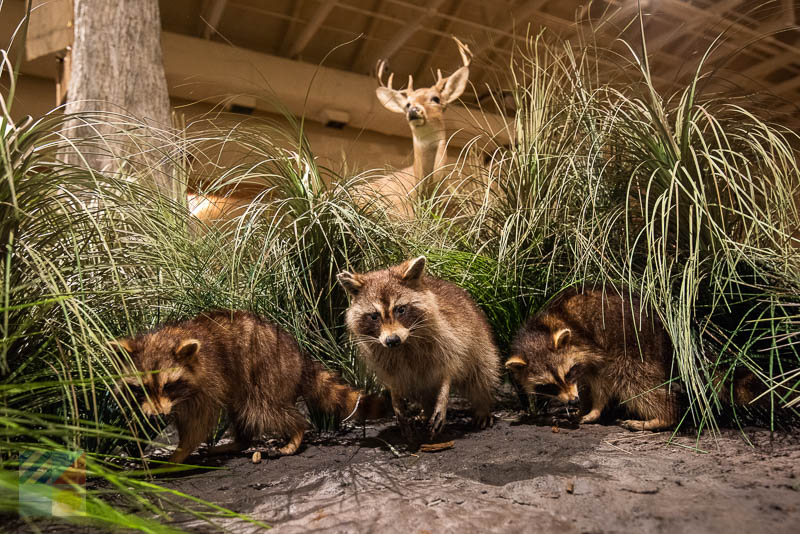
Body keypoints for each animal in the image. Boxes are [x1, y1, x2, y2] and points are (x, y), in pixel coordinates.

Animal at [112, 310, 388, 464]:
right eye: (141, 388)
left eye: (169, 385)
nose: (157, 414)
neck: (171, 336)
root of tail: (300, 357)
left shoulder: (207, 383)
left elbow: (199, 422)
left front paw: (179, 453)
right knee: (242, 408)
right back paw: (241, 441)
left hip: (268, 371)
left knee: (263, 408)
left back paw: (297, 430)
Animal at [338, 258, 500, 440]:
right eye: (374, 316)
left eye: (400, 309)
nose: (392, 340)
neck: (404, 343)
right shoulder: (380, 354)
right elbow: (393, 379)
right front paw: (396, 400)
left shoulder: (449, 337)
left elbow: (448, 370)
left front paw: (443, 396)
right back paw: (426, 411)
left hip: (481, 343)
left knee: (481, 375)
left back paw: (483, 406)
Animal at [506, 286, 676, 434]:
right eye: (549, 386)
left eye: (567, 374)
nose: (573, 401)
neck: (543, 328)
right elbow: (584, 384)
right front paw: (583, 407)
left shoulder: (593, 346)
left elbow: (601, 380)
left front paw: (595, 409)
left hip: (637, 349)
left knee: (635, 382)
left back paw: (665, 416)